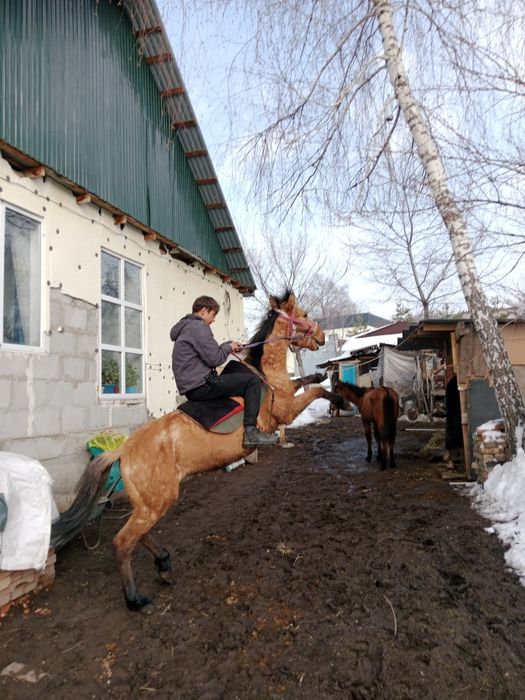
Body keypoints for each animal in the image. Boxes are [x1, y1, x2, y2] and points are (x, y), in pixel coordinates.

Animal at [51, 291, 340, 613]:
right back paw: (136, 598)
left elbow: (306, 383)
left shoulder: (289, 394)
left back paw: (164, 564)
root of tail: (124, 449)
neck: (266, 374)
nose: (321, 336)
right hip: (157, 500)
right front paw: (339, 399)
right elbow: (314, 393)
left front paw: (320, 376)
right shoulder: (285, 411)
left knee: (140, 534)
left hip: (150, 502)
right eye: (303, 314)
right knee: (122, 542)